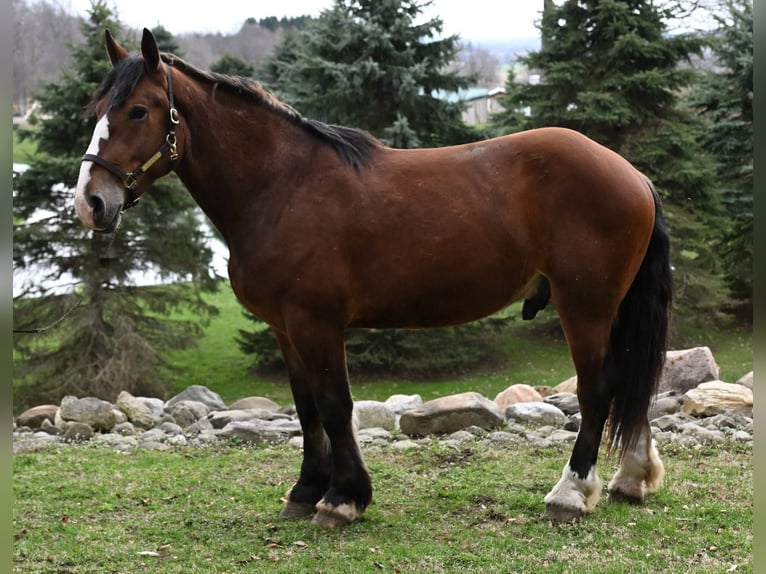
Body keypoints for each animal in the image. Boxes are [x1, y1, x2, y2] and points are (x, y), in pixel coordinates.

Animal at [75, 29, 671, 528]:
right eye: (96, 109)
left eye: (139, 111)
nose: (91, 203)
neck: (282, 187)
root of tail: (631, 173)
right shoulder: (285, 328)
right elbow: (307, 408)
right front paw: (305, 491)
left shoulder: (316, 323)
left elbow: (335, 406)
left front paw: (342, 499)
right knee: (630, 383)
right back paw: (631, 478)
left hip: (585, 304)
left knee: (598, 389)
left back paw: (570, 493)